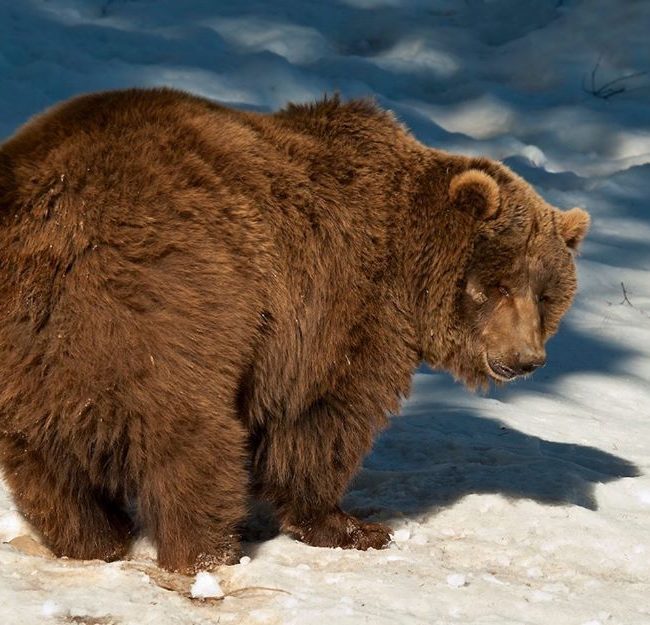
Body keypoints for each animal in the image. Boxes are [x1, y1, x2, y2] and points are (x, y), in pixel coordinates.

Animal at [0, 90, 588, 572]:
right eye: (498, 283)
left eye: (545, 293)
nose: (525, 358)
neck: (408, 265)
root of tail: (54, 216)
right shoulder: (336, 304)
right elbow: (324, 417)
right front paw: (350, 525)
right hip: (168, 300)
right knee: (192, 433)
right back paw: (205, 550)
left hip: (35, 347)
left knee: (41, 458)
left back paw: (94, 538)